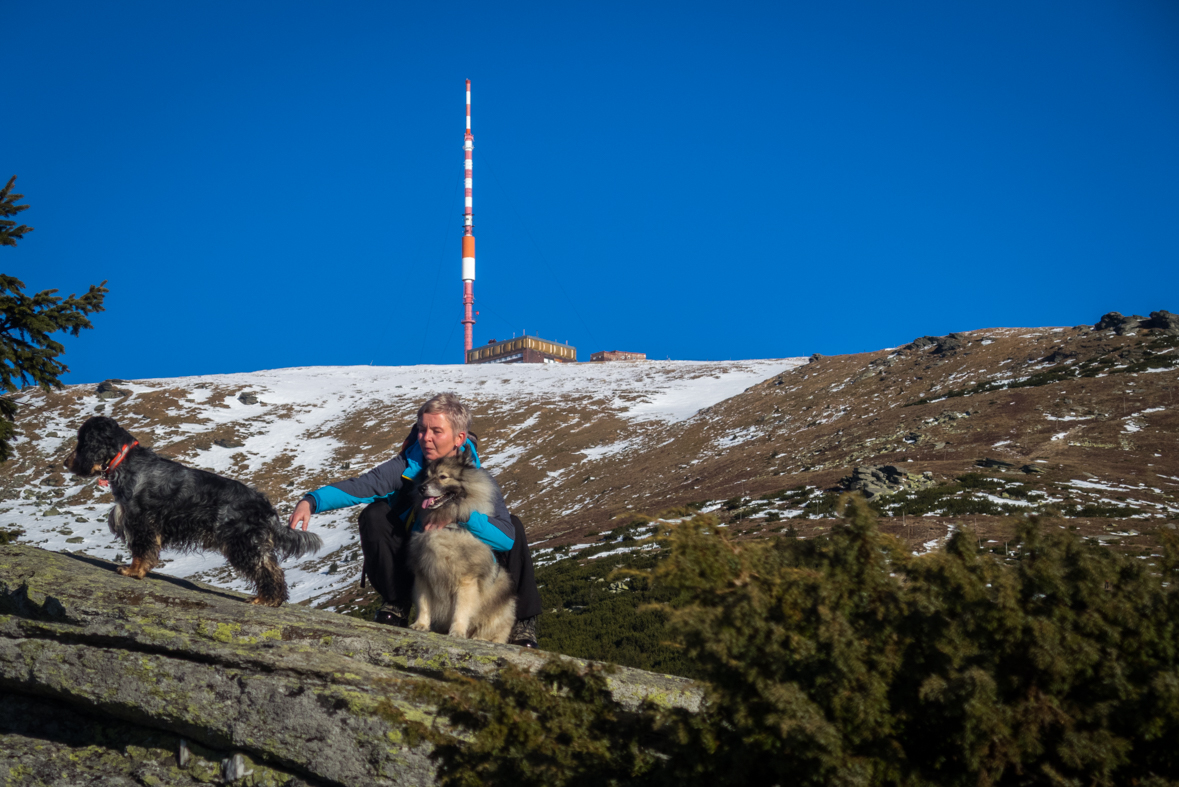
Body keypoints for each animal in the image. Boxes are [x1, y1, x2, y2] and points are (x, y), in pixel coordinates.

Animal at [63, 414, 323, 607]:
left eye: (81, 441)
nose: (66, 463)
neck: (125, 462)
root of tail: (266, 506)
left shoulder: (141, 520)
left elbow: (141, 550)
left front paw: (132, 571)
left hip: (243, 541)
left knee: (267, 569)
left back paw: (265, 600)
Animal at [407, 452, 514, 640]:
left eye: (443, 477)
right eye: (426, 476)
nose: (421, 488)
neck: (445, 526)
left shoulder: (465, 581)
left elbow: (461, 610)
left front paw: (456, 631)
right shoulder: (424, 575)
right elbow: (423, 604)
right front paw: (420, 624)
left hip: (502, 605)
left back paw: (478, 638)